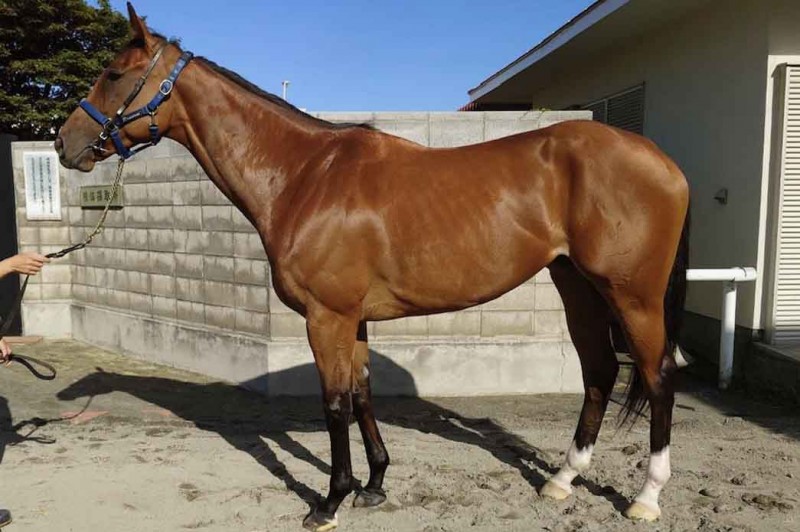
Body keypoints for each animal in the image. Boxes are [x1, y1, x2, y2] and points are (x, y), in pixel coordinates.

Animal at [55, 3, 690, 530]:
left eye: (113, 74)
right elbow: (362, 394)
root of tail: (663, 161)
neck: (304, 175)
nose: (65, 142)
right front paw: (375, 484)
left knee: (657, 375)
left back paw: (646, 497)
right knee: (599, 371)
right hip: (576, 286)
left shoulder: (325, 317)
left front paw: (330, 500)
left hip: (632, 294)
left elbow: (335, 403)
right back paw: (561, 480)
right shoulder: (353, 318)